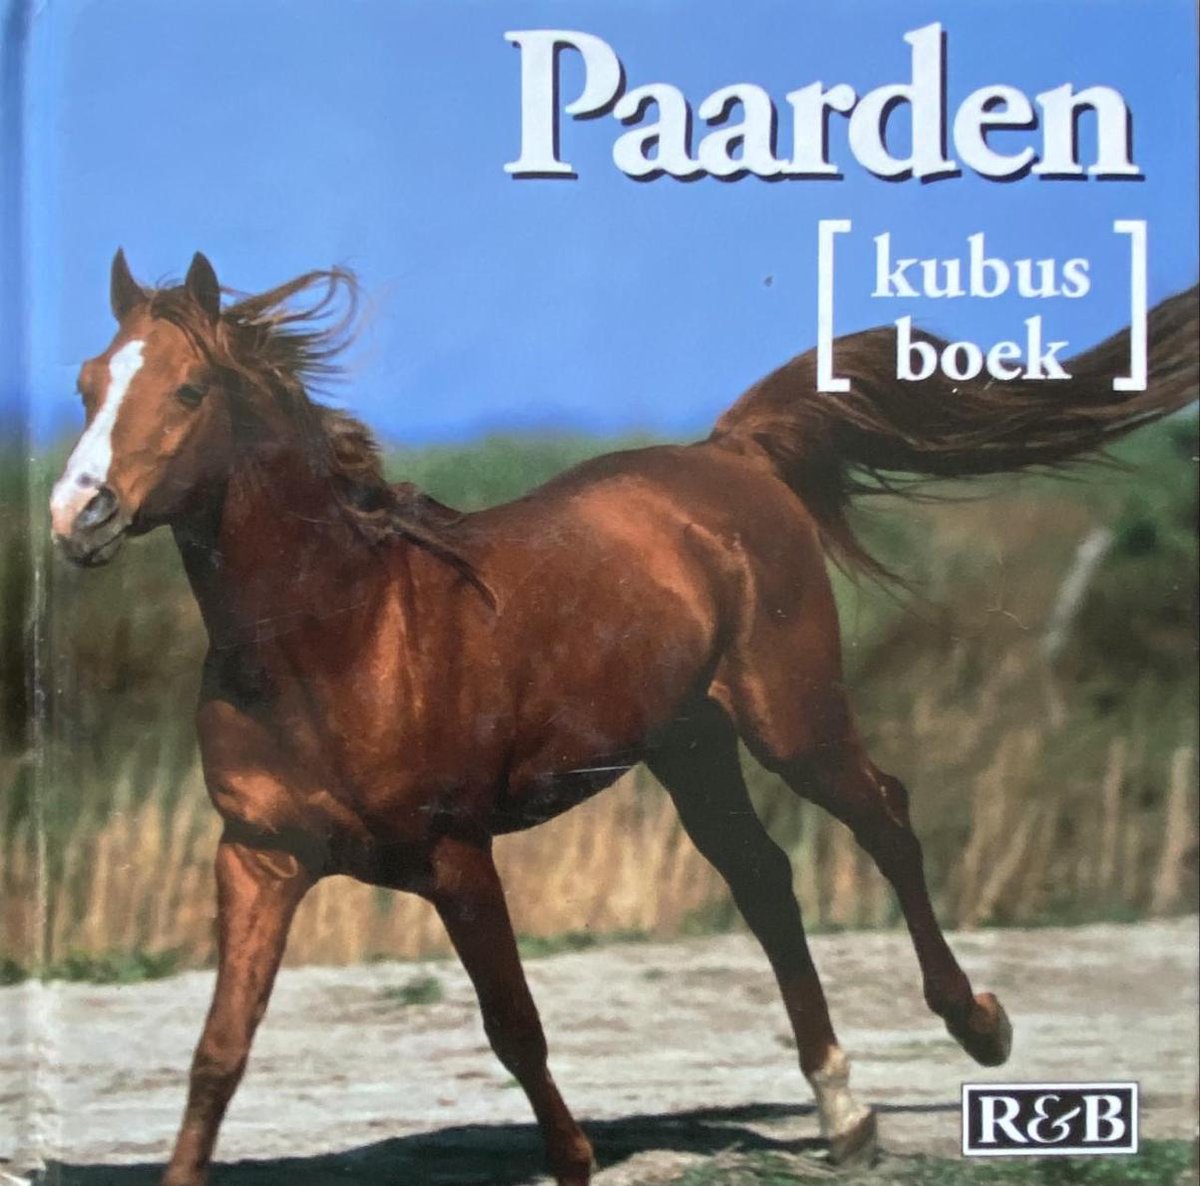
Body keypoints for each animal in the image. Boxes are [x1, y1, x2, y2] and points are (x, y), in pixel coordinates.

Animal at [50, 250, 1197, 1186]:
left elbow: (515, 1026)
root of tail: (732, 455)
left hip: (792, 719)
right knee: (766, 882)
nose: (77, 516)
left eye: (189, 387)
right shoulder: (260, 858)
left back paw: (979, 1028)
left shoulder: (456, 854)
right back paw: (845, 1113)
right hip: (692, 746)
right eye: (88, 383)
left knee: (886, 819)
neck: (335, 639)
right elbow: (218, 1053)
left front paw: (576, 1160)